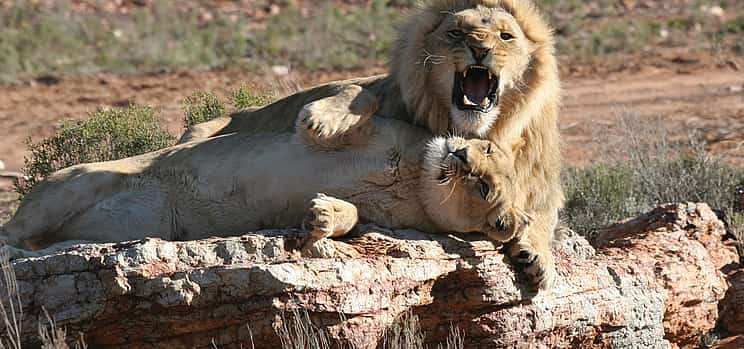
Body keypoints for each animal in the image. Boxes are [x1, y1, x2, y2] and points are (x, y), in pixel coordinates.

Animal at [2, 114, 532, 270]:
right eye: (485, 146)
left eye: (484, 186)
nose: (459, 154)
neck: (416, 179)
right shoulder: (382, 129)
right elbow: (345, 116)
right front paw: (320, 123)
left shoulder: (384, 219)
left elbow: (351, 217)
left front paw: (319, 219)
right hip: (75, 183)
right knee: (11, 232)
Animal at [182, 0, 564, 290]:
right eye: (456, 32)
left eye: (505, 36)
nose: (481, 49)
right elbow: (357, 92)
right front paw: (323, 120)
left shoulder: (538, 173)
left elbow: (542, 210)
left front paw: (537, 258)